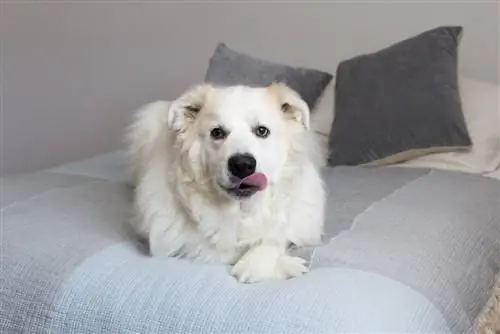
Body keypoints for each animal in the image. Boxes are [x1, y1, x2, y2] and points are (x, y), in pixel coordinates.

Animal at [127, 83, 326, 282]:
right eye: (217, 133)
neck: (241, 209)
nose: (242, 165)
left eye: (262, 131)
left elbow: (274, 236)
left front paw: (260, 263)